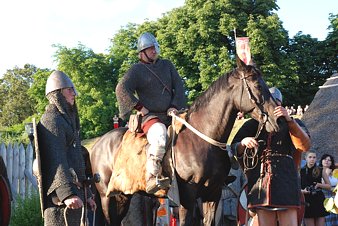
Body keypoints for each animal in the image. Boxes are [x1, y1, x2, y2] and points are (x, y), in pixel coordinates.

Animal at [88, 58, 280, 226]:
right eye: (257, 86)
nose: (275, 117)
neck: (203, 138)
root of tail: (98, 145)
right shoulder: (187, 195)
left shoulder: (213, 193)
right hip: (107, 197)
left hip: (123, 196)